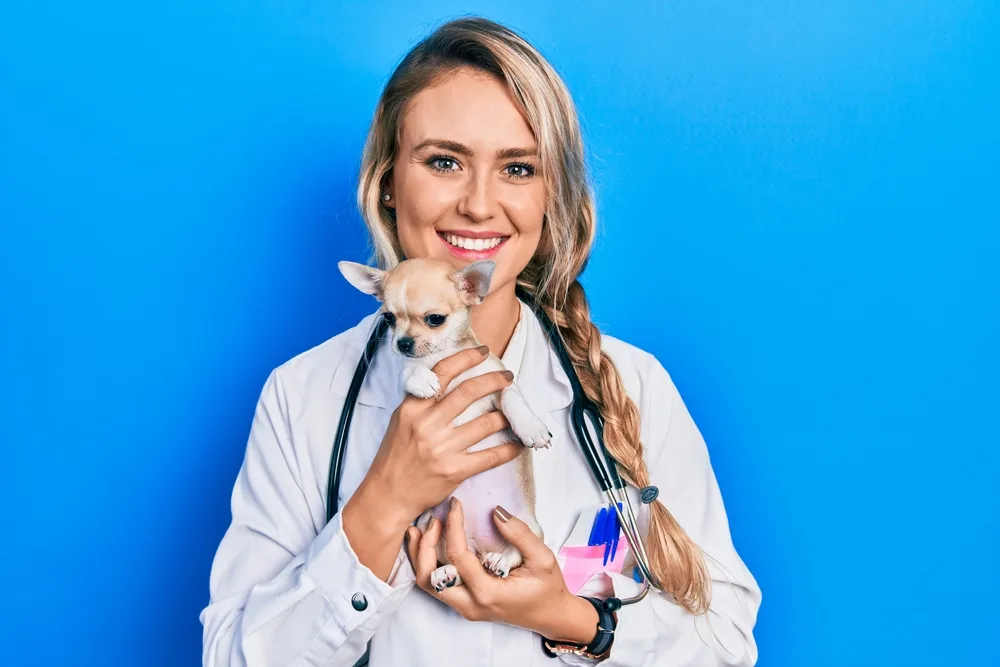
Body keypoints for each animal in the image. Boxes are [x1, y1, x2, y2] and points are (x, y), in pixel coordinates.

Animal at [340, 258, 552, 588]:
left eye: (435, 319)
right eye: (388, 318)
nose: (403, 343)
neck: (443, 355)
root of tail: (479, 548)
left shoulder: (498, 380)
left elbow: (513, 398)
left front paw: (531, 428)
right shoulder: (405, 385)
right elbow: (408, 373)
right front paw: (423, 379)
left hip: (528, 526)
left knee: (516, 552)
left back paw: (500, 561)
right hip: (428, 521)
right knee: (455, 560)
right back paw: (446, 572)